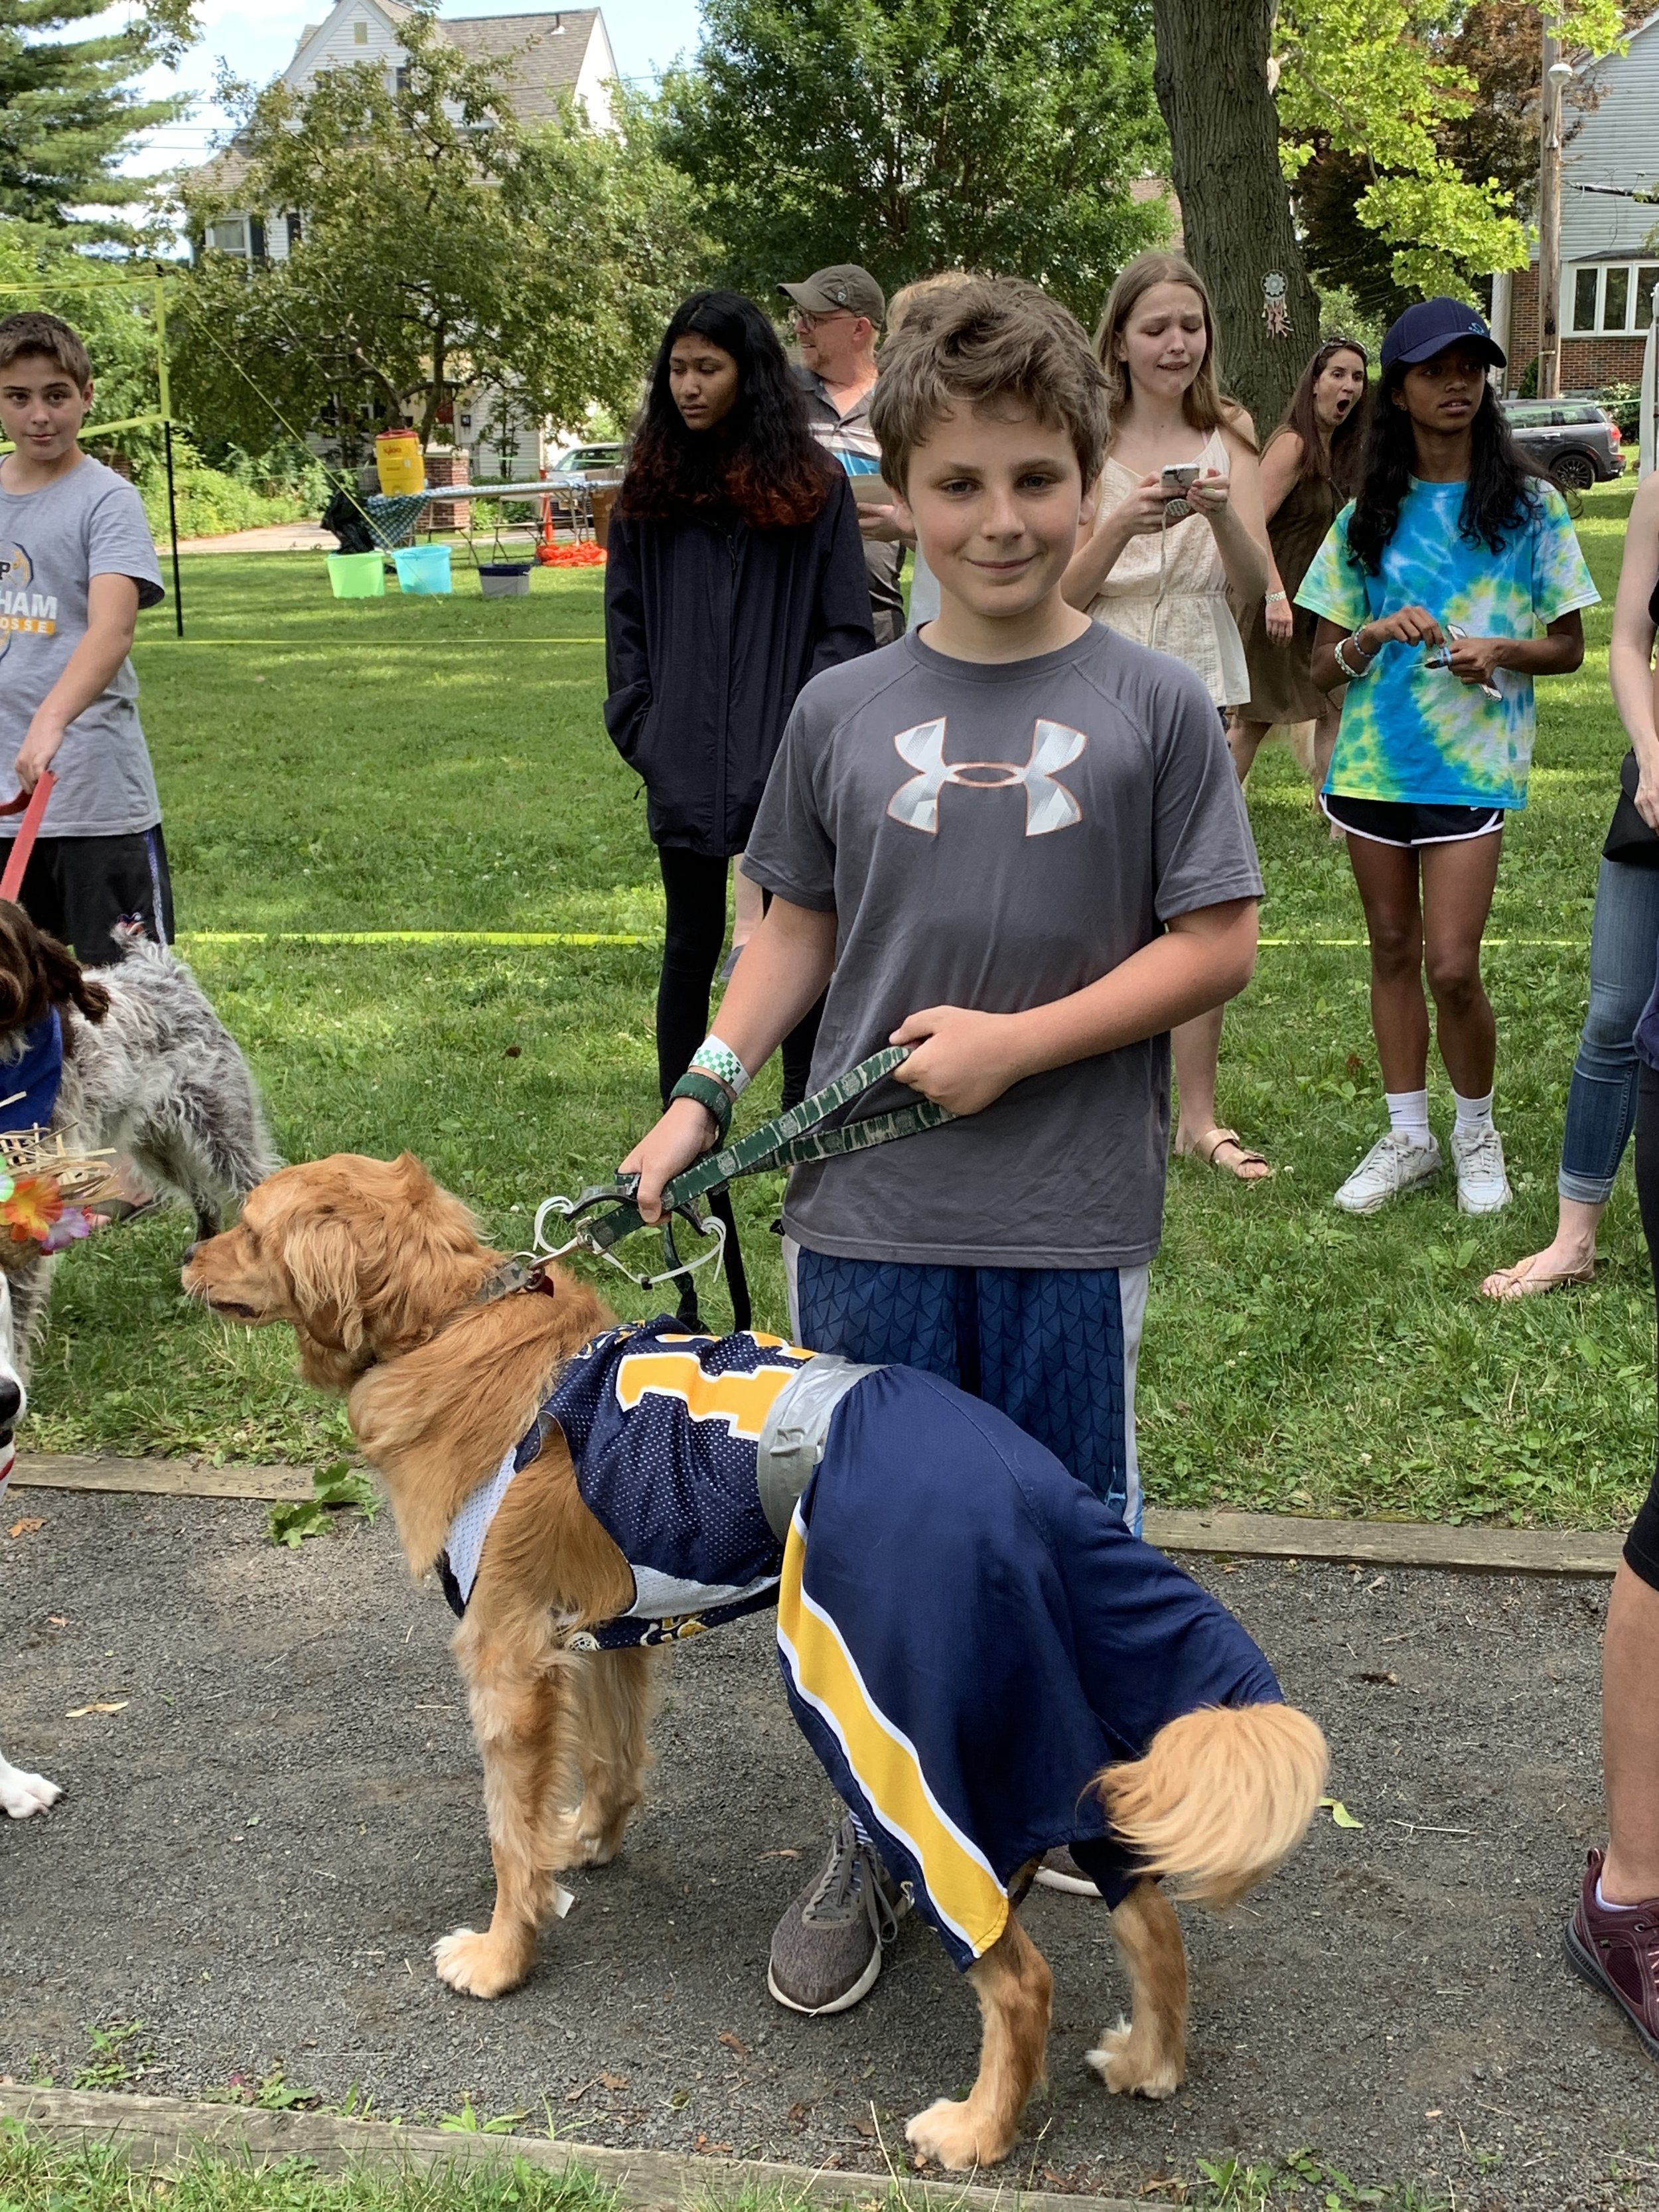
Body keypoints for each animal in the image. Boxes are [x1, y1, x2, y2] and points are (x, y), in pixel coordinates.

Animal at [0, 902, 281, 1363]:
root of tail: (161, 969)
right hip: (160, 1146)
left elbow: (18, 1307)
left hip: (222, 1133)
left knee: (254, 1186)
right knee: (206, 1201)